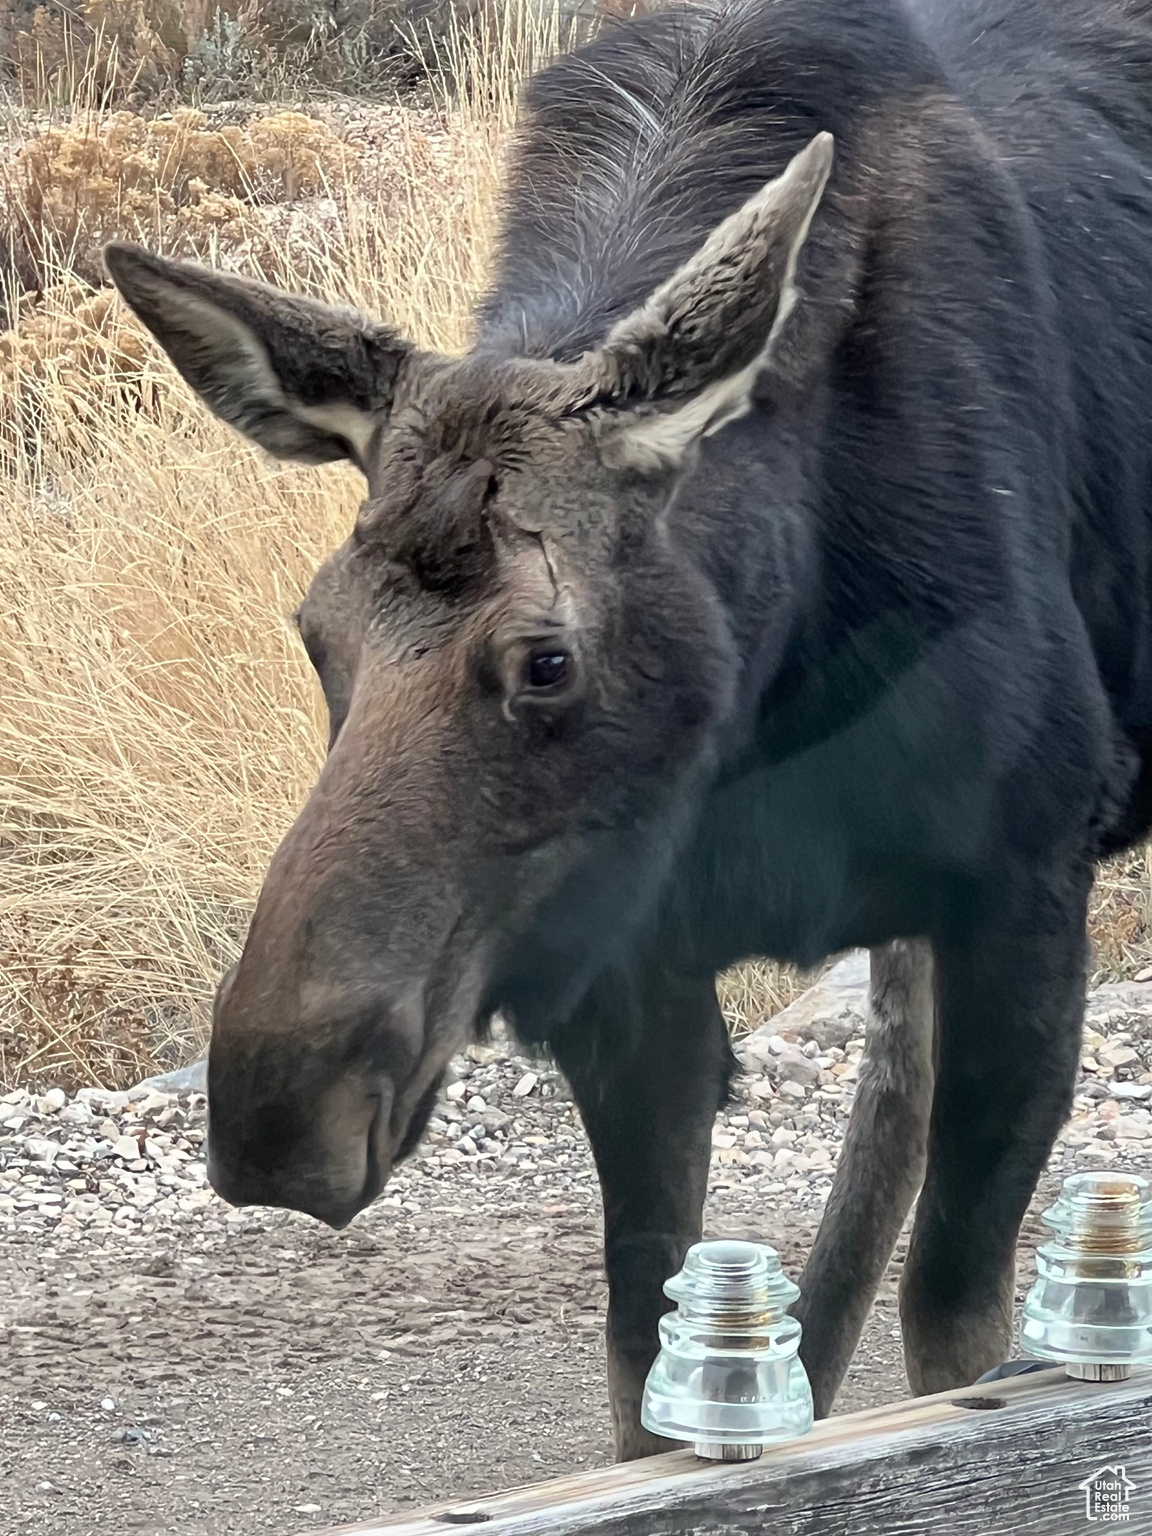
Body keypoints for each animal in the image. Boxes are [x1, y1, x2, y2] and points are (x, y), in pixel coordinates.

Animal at [103, 0, 1148, 1456]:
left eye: (546, 662)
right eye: (316, 636)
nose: (276, 1107)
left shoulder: (1026, 884)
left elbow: (964, 1343)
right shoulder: (634, 974)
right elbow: (651, 1388)